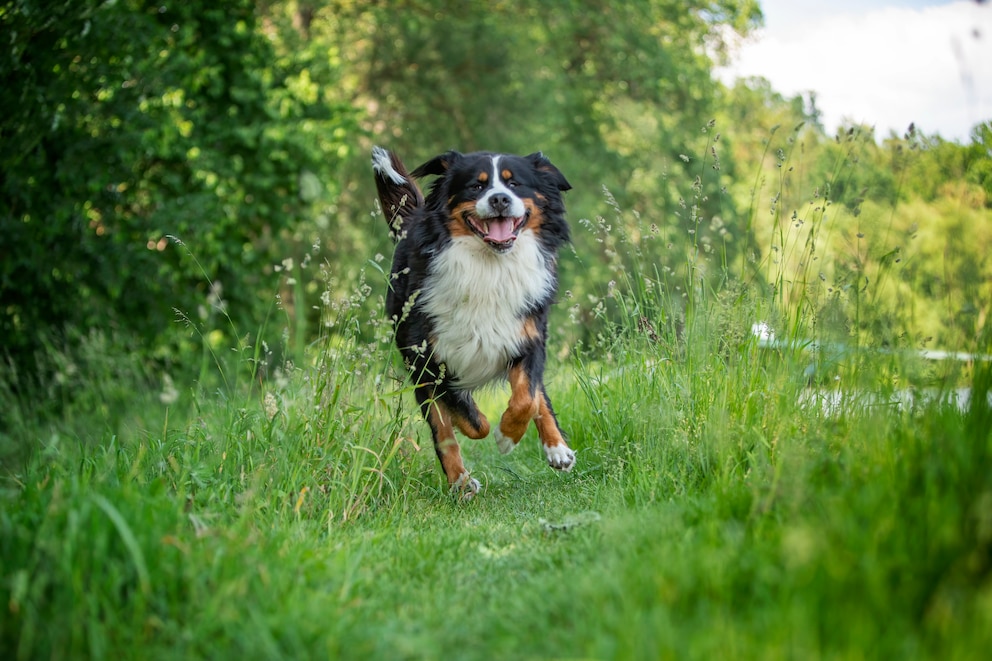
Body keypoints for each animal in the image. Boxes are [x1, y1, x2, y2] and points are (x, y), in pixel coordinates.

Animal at [370, 144, 572, 496]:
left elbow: (526, 398)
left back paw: (558, 448)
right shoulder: (425, 357)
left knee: (537, 396)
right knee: (443, 431)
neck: (489, 269)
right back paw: (461, 483)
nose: (499, 199)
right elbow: (466, 420)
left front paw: (507, 436)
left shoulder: (528, 337)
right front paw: (483, 428)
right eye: (476, 186)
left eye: (514, 184)